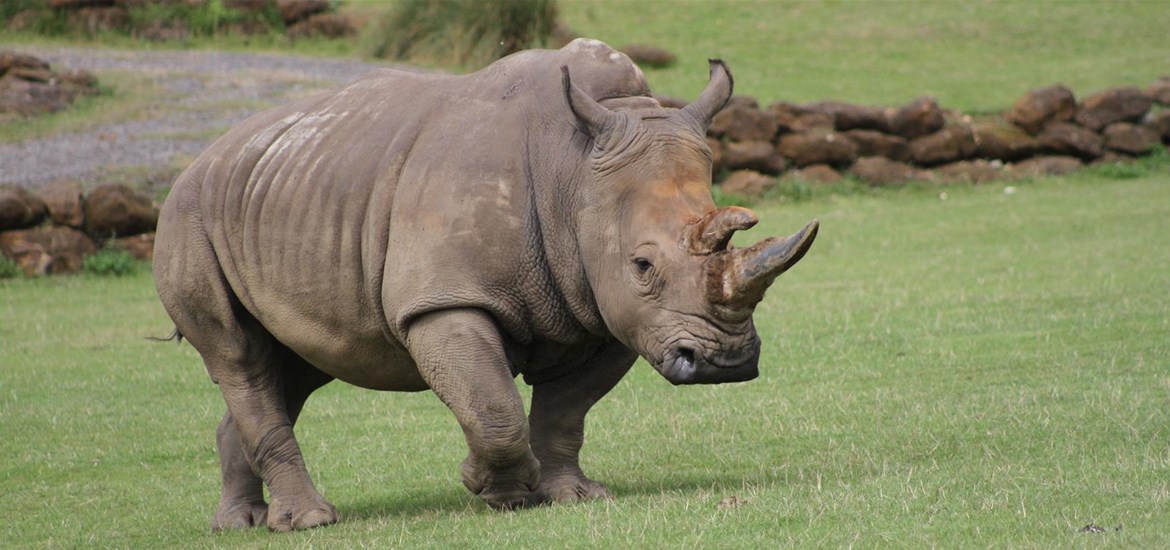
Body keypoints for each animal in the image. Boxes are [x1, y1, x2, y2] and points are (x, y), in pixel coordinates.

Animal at [153, 38, 818, 531]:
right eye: (642, 266)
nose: (724, 363)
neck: (571, 171)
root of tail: (200, 158)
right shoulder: (446, 299)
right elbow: (492, 405)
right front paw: (495, 489)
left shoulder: (611, 314)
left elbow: (566, 410)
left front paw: (573, 496)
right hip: (188, 216)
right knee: (239, 355)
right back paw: (310, 522)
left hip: (285, 196)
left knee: (297, 362)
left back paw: (240, 523)